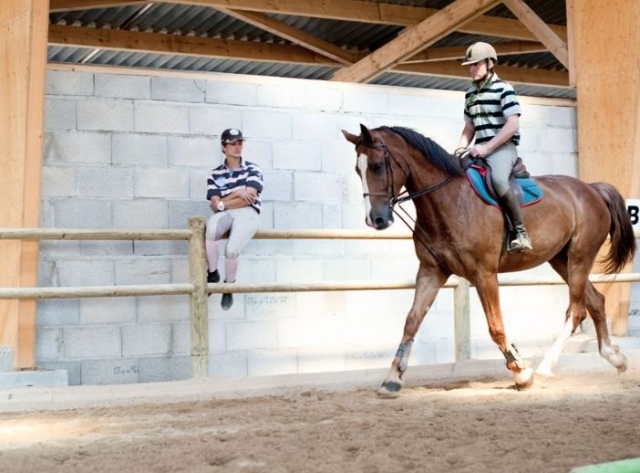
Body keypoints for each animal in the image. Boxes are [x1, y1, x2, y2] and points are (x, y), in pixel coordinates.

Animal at [342, 122, 632, 394]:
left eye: (377, 166)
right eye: (357, 170)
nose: (376, 220)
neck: (448, 200)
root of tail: (591, 189)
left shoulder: (484, 274)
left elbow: (496, 326)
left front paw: (521, 373)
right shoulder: (431, 271)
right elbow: (412, 321)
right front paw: (392, 378)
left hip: (580, 257)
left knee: (576, 310)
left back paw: (546, 366)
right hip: (561, 260)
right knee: (595, 301)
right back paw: (615, 358)